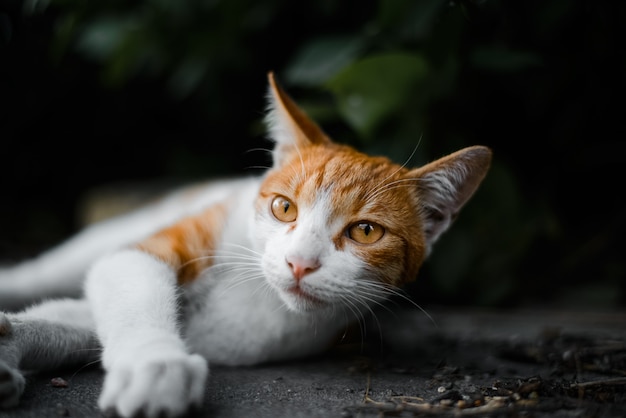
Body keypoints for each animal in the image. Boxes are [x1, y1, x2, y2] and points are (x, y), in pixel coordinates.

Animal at [0, 72, 488, 418]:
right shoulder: (145, 253)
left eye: (366, 232)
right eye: (284, 208)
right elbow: (124, 284)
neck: (261, 295)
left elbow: (72, 322)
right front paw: (154, 365)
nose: (299, 263)